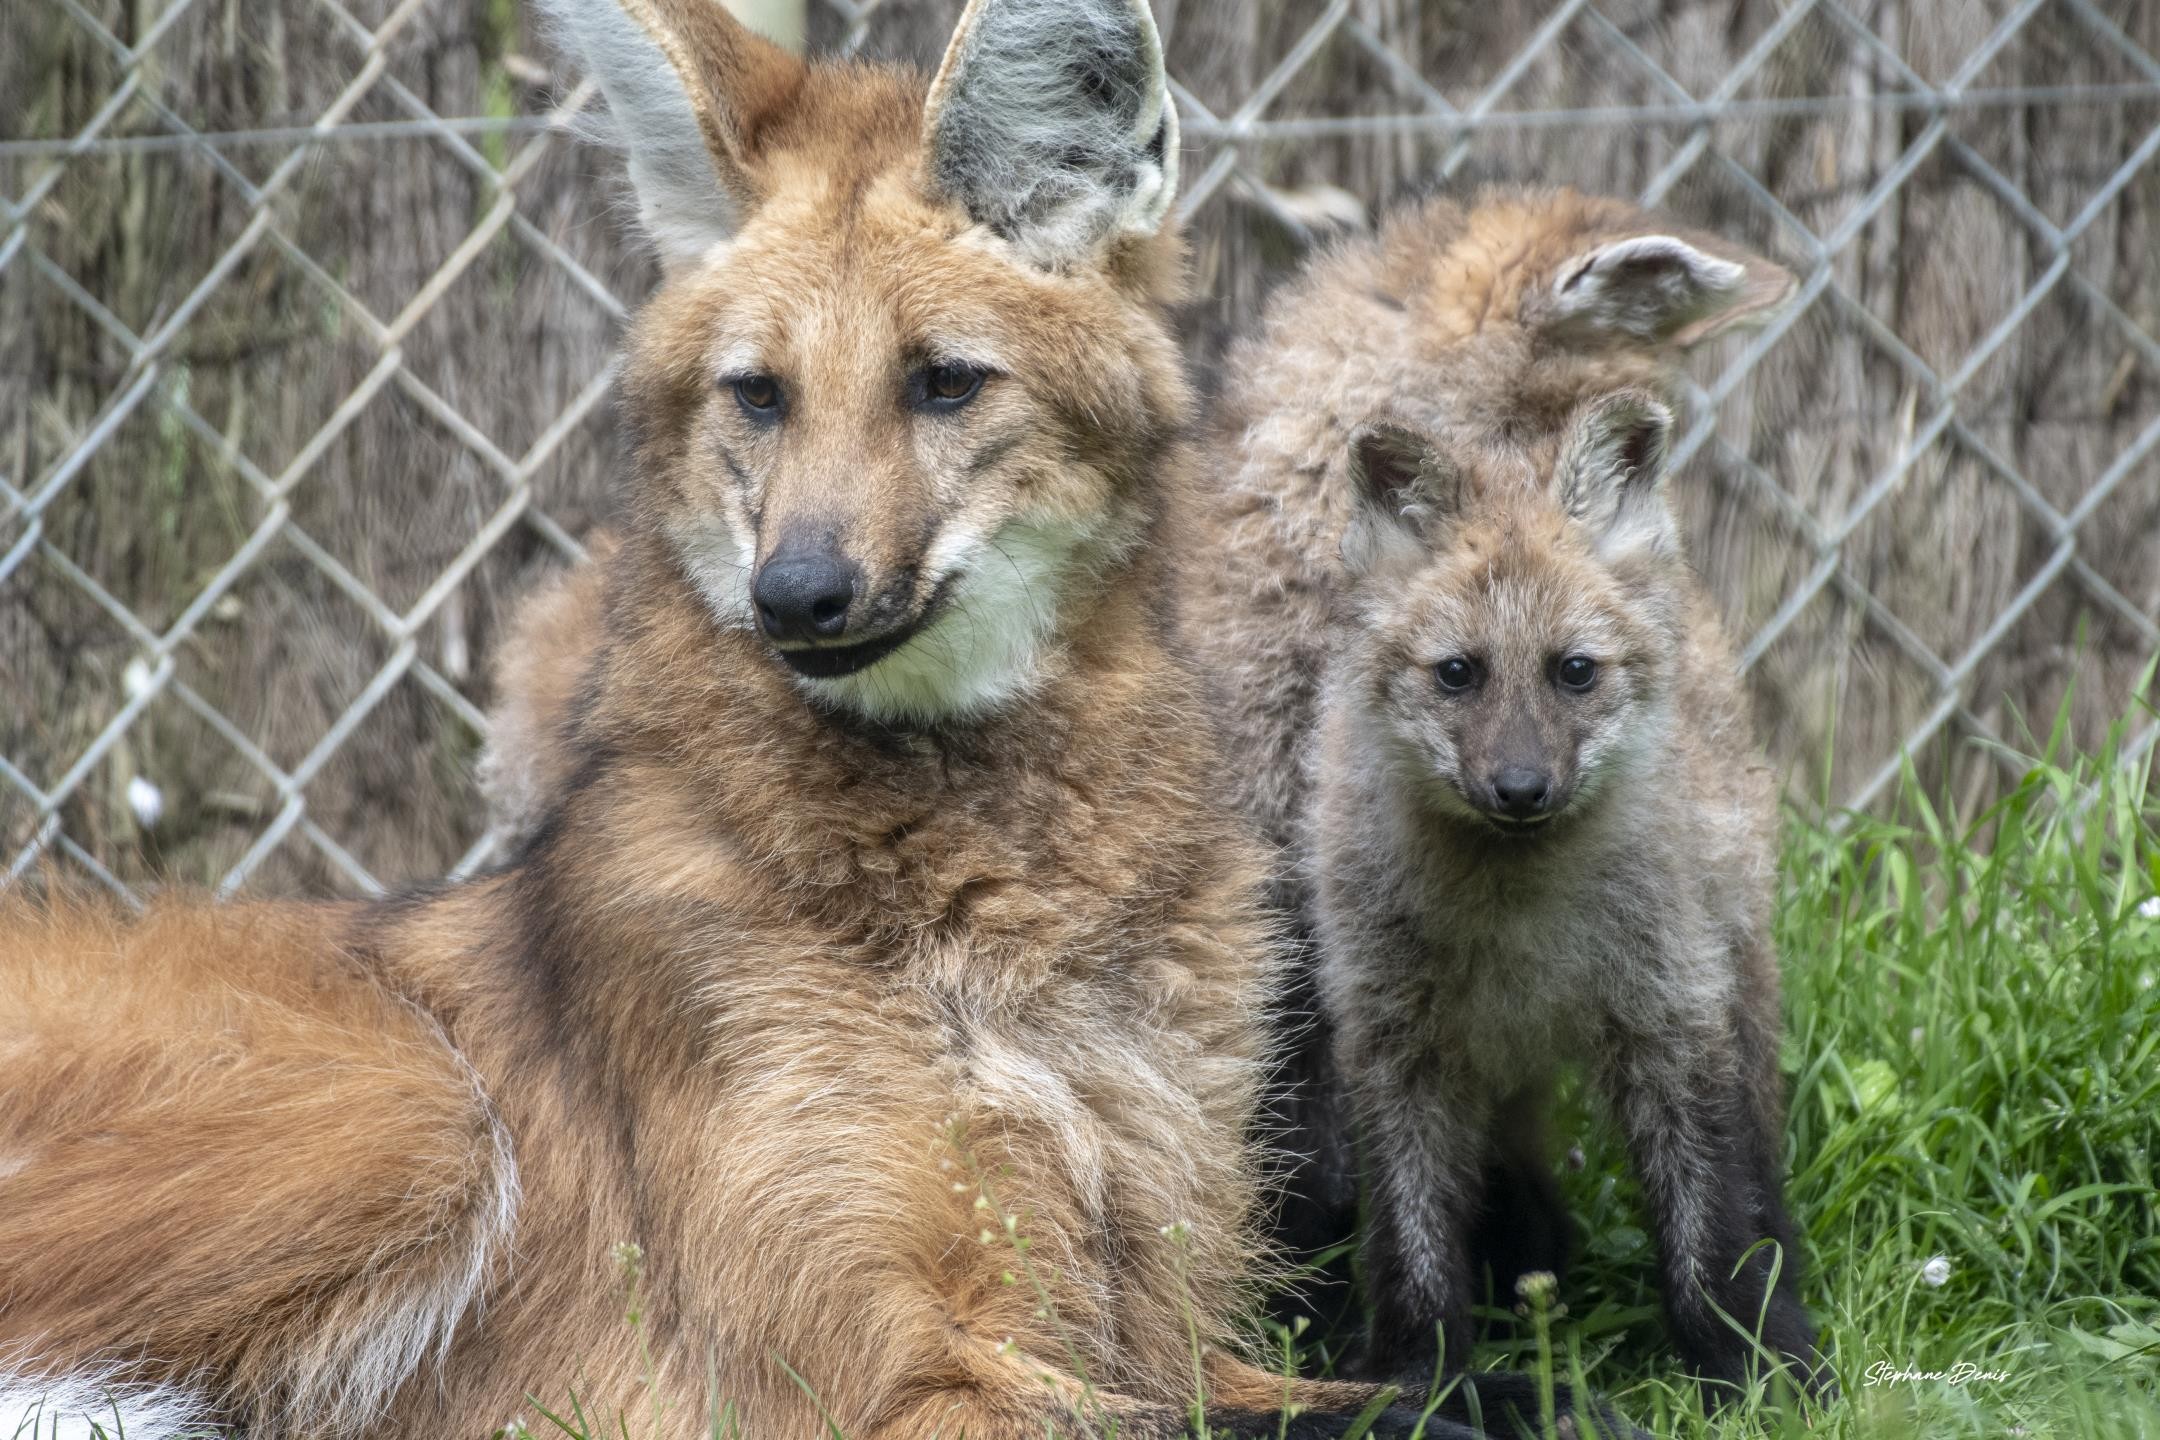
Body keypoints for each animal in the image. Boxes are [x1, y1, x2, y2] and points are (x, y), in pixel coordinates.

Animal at [0, 2, 1624, 1440]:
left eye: (945, 383)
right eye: (761, 396)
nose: (799, 593)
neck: (1005, 918)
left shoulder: (1165, 1304)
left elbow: (1426, 1396)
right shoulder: (879, 1379)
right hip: (415, 1112)